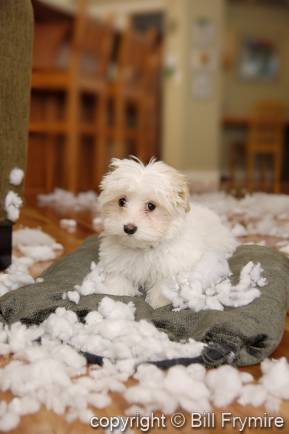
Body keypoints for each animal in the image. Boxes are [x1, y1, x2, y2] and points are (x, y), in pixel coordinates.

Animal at [98, 159, 235, 308]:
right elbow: (118, 283)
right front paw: (114, 297)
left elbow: (165, 285)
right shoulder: (118, 265)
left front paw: (158, 301)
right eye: (121, 201)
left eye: (151, 206)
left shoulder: (174, 265)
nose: (129, 228)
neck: (144, 248)